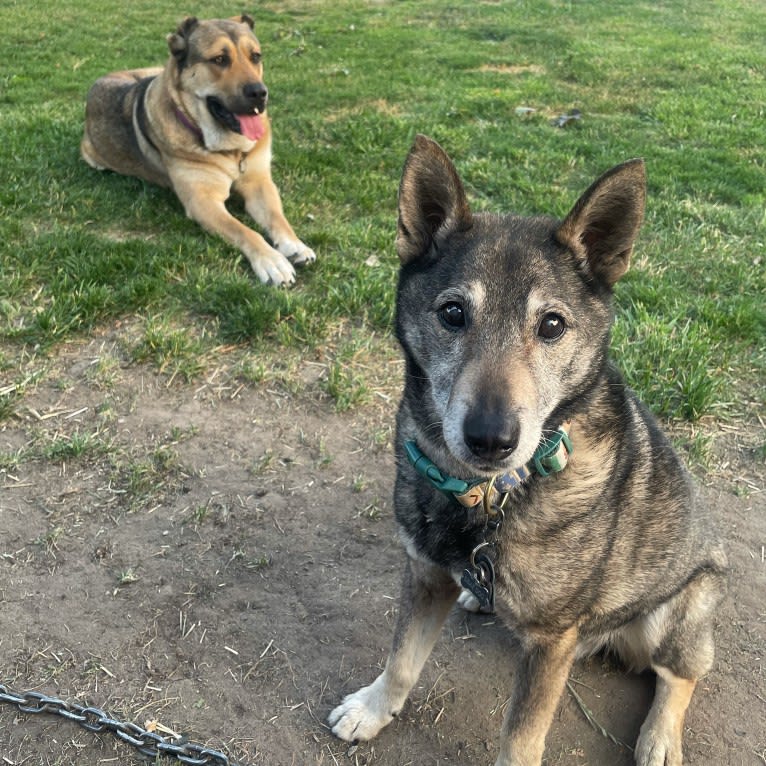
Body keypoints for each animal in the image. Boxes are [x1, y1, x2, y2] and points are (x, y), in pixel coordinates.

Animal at [81, 14, 316, 284]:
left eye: (256, 56)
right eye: (220, 59)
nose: (259, 93)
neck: (231, 150)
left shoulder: (259, 183)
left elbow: (277, 217)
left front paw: (295, 244)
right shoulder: (203, 201)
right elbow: (244, 231)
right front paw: (271, 260)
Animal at [328, 138, 728, 766]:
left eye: (553, 324)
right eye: (452, 313)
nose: (491, 437)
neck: (485, 498)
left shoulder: (549, 644)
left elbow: (520, 737)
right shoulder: (424, 574)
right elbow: (401, 660)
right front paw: (373, 709)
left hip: (676, 613)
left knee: (681, 675)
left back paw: (661, 738)